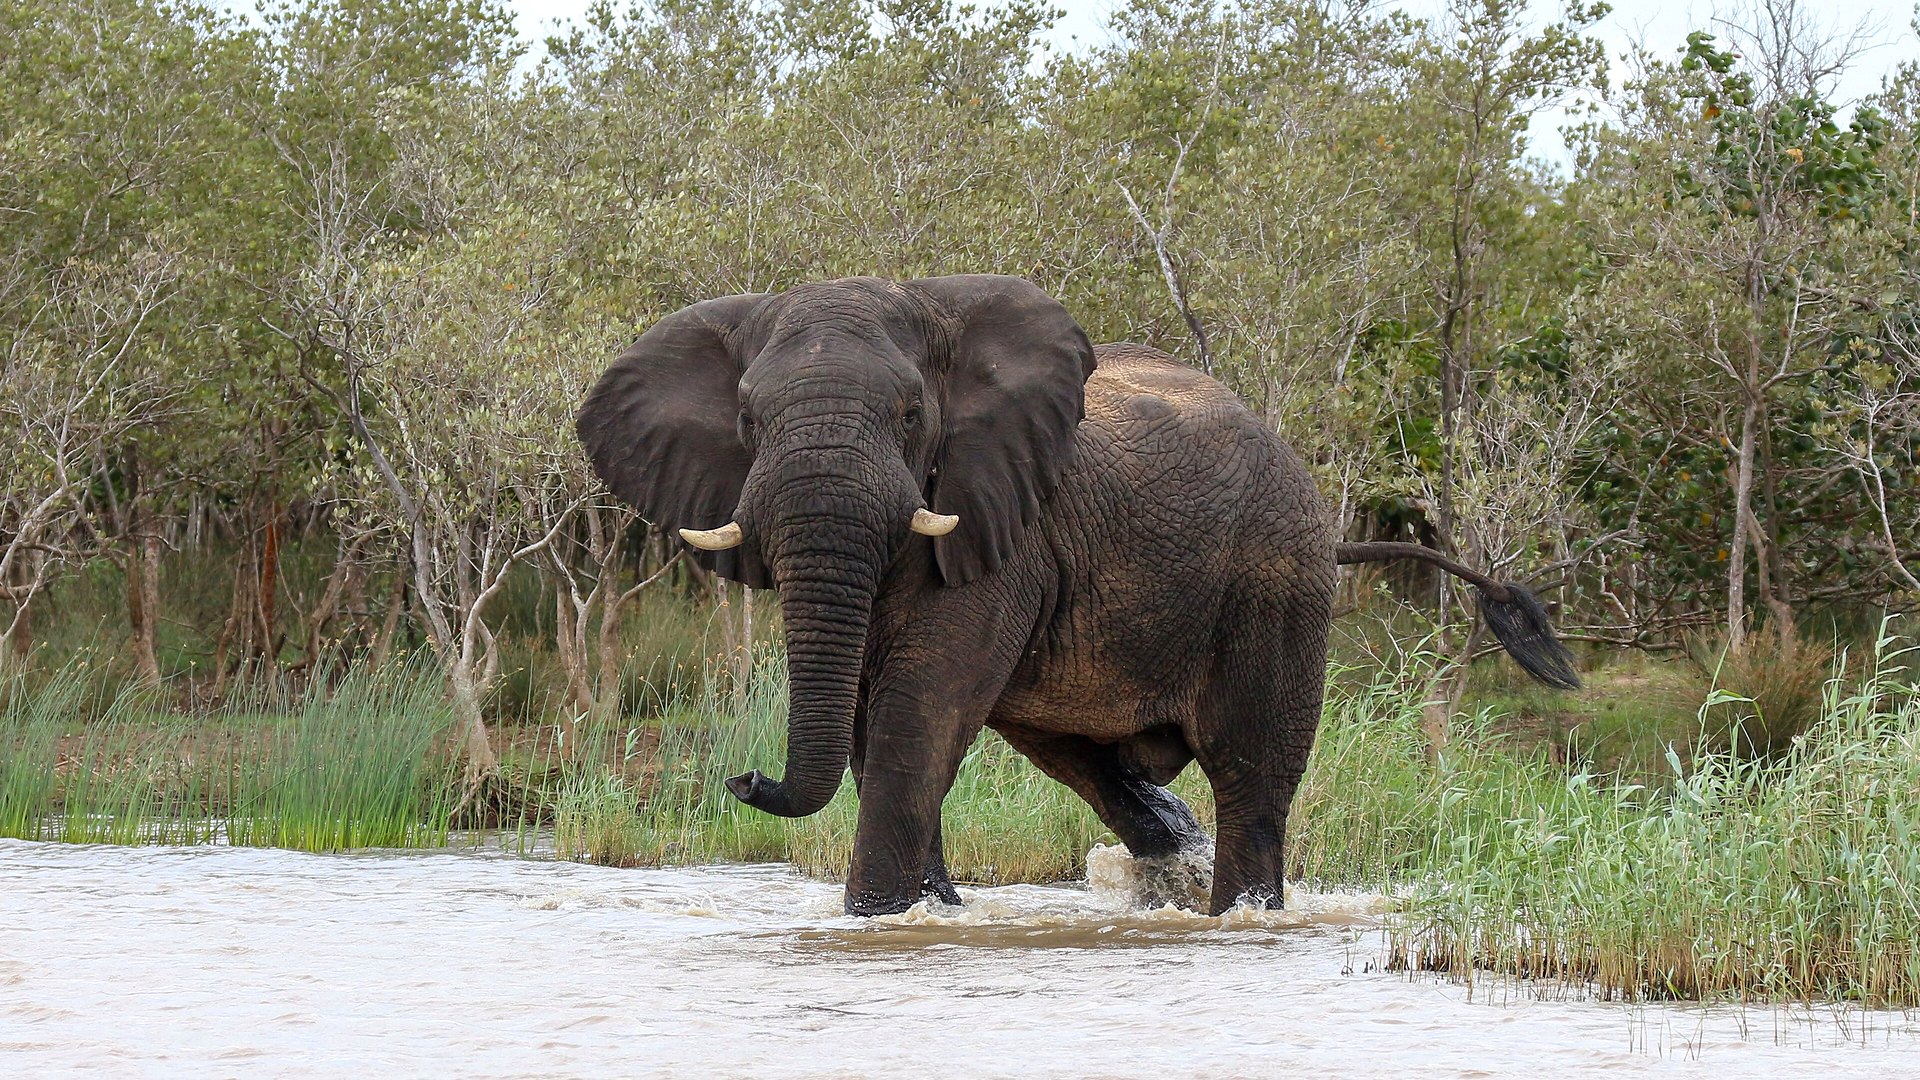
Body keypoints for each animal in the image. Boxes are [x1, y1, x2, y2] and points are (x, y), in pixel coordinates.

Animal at [577, 275, 1578, 916]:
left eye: (911, 415)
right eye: (748, 420)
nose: (743, 777)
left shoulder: (1006, 530)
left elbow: (915, 721)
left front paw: (878, 921)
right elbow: (878, 732)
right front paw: (928, 914)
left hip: (1277, 582)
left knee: (1252, 774)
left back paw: (1237, 914)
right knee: (1091, 765)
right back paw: (1169, 866)